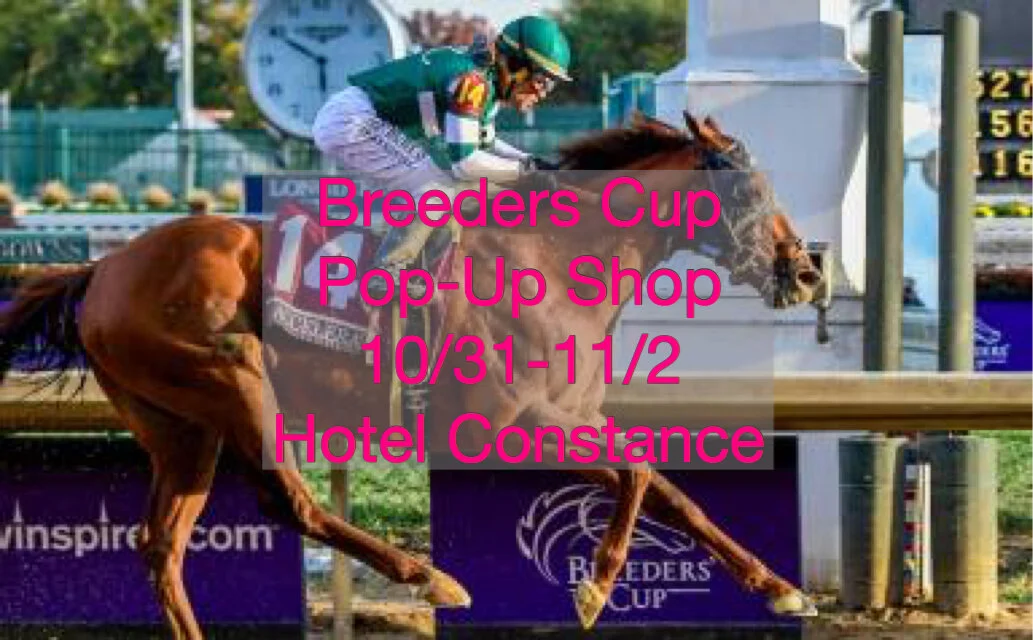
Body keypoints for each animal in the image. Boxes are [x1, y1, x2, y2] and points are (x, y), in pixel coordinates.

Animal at [0, 111, 825, 639]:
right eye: (749, 190)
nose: (807, 272)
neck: (554, 260)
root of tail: (104, 266)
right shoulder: (508, 425)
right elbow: (638, 474)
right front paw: (593, 589)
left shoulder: (572, 418)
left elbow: (671, 494)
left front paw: (781, 589)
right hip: (231, 377)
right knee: (290, 501)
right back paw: (430, 576)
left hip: (181, 429)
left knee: (162, 546)